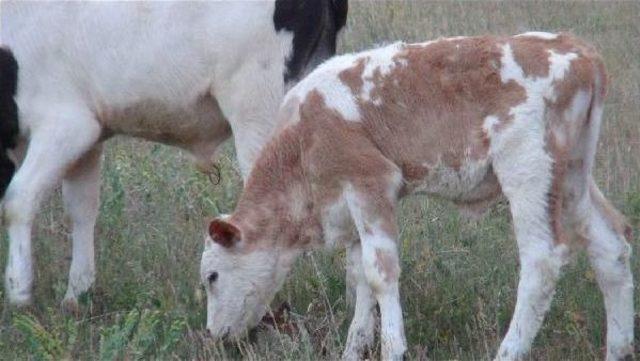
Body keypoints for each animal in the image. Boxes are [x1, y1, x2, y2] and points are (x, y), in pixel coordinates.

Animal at [0, 0, 348, 310]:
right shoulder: (90, 133)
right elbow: (82, 209)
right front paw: (77, 295)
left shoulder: (67, 124)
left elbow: (18, 200)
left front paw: (19, 292)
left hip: (258, 107)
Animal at [200, 33, 636, 360]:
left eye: (212, 276)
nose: (215, 335)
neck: (301, 140)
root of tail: (578, 50)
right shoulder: (352, 207)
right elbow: (360, 274)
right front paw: (354, 349)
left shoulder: (370, 182)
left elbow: (380, 273)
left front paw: (392, 349)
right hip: (573, 176)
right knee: (610, 246)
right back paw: (618, 348)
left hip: (529, 170)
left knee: (541, 261)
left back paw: (508, 350)